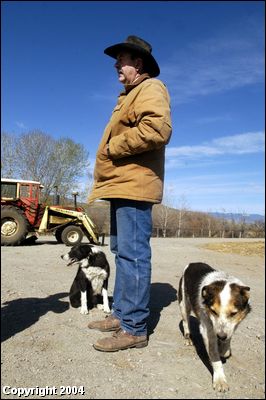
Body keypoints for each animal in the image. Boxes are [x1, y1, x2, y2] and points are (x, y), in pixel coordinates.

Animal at [178, 262, 250, 390]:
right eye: (213, 311)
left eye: (233, 313)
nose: (221, 336)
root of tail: (192, 263)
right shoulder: (207, 330)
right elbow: (215, 355)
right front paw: (220, 380)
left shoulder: (232, 326)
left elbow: (227, 342)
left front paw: (224, 350)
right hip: (183, 304)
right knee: (186, 322)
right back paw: (188, 338)